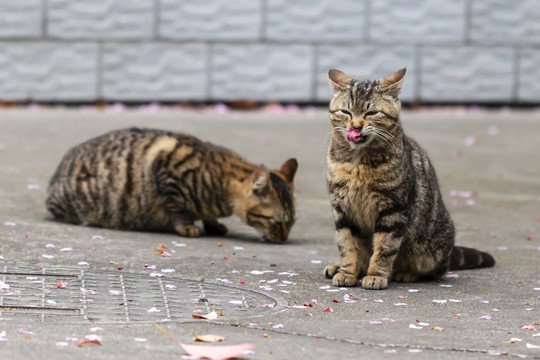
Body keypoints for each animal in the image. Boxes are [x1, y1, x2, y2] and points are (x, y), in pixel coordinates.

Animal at [45, 127, 300, 242]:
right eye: (278, 222)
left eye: (292, 222)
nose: (284, 238)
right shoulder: (164, 171)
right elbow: (179, 207)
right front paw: (188, 225)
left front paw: (213, 223)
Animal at [322, 68, 496, 290]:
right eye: (346, 112)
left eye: (371, 113)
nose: (356, 126)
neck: (357, 162)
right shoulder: (342, 209)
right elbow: (347, 245)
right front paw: (346, 272)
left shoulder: (394, 210)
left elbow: (384, 248)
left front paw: (376, 275)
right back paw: (339, 267)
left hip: (433, 248)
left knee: (434, 271)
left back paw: (406, 273)